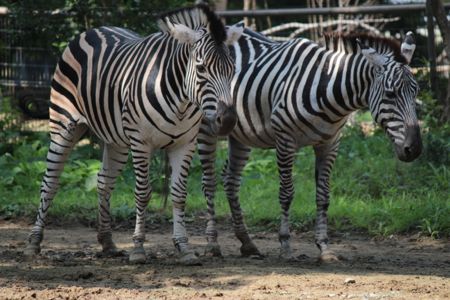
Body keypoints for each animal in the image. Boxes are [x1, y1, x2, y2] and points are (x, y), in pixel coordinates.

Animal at [24, 5, 243, 264]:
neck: (181, 100)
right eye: (201, 68)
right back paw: (34, 242)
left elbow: (179, 194)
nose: (228, 120)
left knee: (104, 181)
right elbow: (142, 193)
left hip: (115, 139)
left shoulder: (185, 144)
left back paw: (107, 242)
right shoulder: (141, 142)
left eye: (232, 69)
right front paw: (138, 248)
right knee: (50, 182)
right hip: (63, 125)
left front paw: (184, 247)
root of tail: (94, 29)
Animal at [198, 29, 422, 262]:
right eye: (390, 94)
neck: (327, 87)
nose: (414, 149)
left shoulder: (330, 144)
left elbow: (323, 196)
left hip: (241, 134)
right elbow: (286, 193)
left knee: (231, 180)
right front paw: (286, 245)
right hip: (208, 126)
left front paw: (324, 248)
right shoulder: (285, 139)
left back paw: (247, 242)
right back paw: (212, 244)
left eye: (416, 92)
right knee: (209, 182)